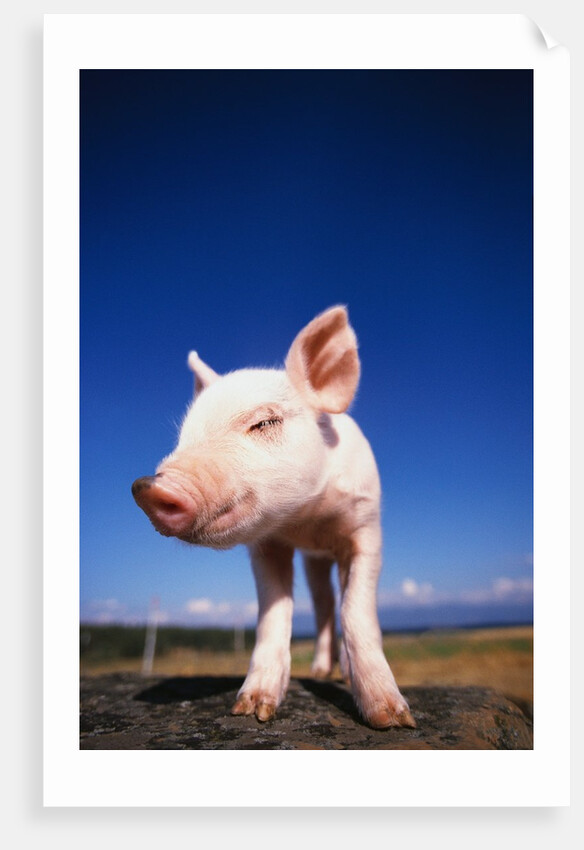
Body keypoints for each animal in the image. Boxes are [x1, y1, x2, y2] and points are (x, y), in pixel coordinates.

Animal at [132, 306, 415, 729]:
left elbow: (357, 610)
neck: (306, 519)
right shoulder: (266, 546)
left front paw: (392, 719)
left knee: (336, 602)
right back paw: (318, 672)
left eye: (264, 422)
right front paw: (251, 710)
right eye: (184, 436)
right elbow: (273, 615)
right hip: (314, 563)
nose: (148, 487)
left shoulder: (367, 528)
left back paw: (339, 676)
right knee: (323, 602)